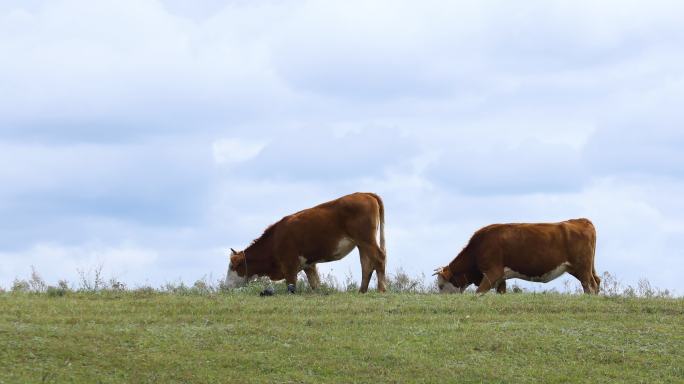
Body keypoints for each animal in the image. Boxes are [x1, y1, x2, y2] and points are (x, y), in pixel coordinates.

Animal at [224, 192, 384, 294]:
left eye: (232, 266)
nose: (225, 287)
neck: (275, 239)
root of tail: (365, 193)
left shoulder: (289, 267)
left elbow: (292, 286)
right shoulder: (309, 265)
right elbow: (315, 284)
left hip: (367, 240)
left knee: (379, 258)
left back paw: (382, 289)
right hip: (361, 244)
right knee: (366, 264)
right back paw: (362, 291)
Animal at [432, 219, 600, 294]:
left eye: (441, 285)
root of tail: (580, 221)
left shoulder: (493, 272)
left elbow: (479, 292)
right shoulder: (500, 278)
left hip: (582, 268)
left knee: (590, 285)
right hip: (585, 267)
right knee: (596, 281)